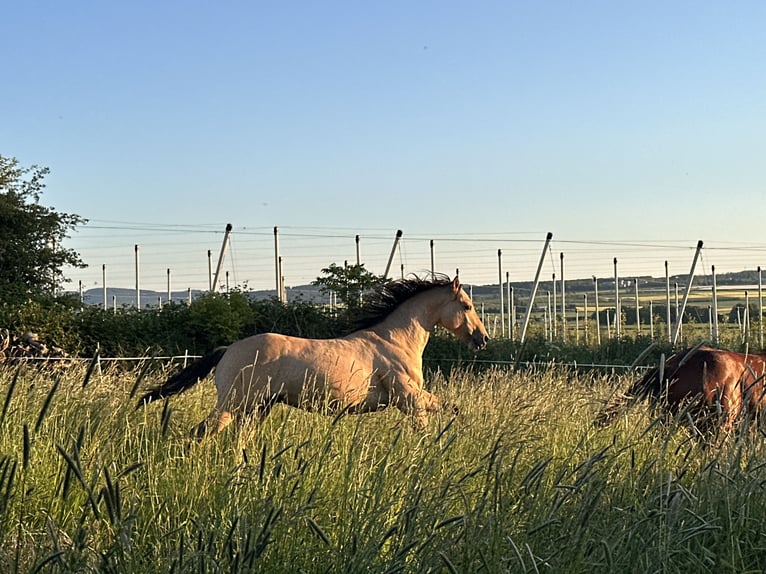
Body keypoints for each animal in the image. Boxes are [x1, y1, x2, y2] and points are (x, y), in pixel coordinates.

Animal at [138, 275, 489, 438]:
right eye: (467, 305)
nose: (483, 339)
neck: (395, 340)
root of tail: (228, 350)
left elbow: (452, 409)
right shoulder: (410, 398)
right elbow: (437, 418)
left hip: (256, 408)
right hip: (235, 404)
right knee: (201, 433)